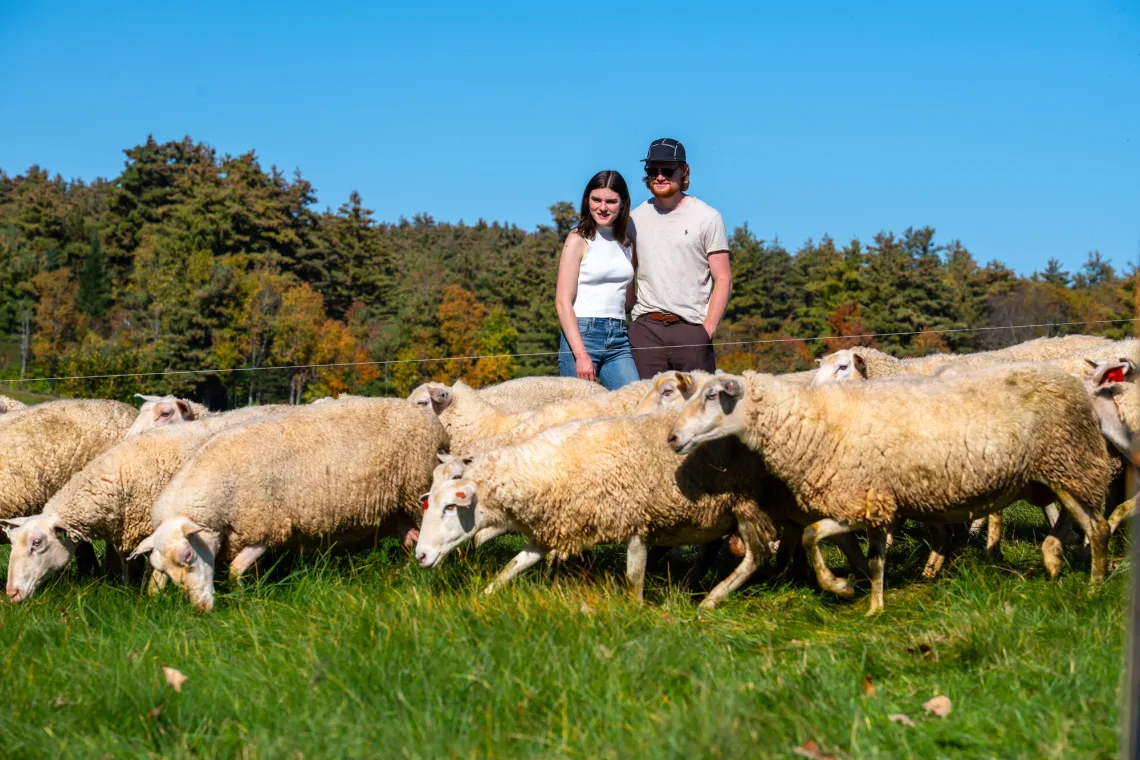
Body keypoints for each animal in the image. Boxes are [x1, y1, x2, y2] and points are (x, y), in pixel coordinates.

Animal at [2, 401, 294, 601]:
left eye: (37, 543)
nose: (12, 594)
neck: (118, 472)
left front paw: (148, 595)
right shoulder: (126, 529)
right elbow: (128, 565)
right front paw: (126, 589)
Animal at [131, 398, 446, 610]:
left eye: (188, 556)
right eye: (165, 567)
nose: (201, 609)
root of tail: (431, 420)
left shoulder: (266, 528)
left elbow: (235, 570)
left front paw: (244, 596)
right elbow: (155, 585)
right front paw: (153, 601)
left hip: (417, 492)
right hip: (399, 511)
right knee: (411, 540)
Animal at [417, 412, 784, 610]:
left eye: (450, 506)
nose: (420, 556)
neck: (551, 469)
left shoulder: (636, 523)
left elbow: (633, 577)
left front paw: (637, 611)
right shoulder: (553, 529)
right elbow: (513, 566)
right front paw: (484, 597)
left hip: (748, 504)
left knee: (757, 556)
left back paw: (712, 600)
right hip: (718, 512)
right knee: (712, 549)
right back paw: (689, 589)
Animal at [665, 366, 1112, 610]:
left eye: (712, 396)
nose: (672, 438)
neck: (811, 419)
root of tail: (1078, 386)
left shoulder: (857, 500)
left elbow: (812, 536)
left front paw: (841, 587)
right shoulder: (876, 499)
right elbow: (875, 558)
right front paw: (874, 605)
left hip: (1068, 462)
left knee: (1097, 527)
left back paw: (1094, 586)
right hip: (1049, 475)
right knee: (1075, 523)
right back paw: (1054, 559)